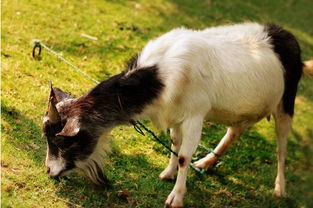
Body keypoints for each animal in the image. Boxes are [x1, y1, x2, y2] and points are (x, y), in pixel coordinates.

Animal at [42, 22, 312, 207]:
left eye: (63, 142)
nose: (48, 171)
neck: (157, 77)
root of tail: (287, 37)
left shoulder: (195, 115)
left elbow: (183, 155)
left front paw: (176, 197)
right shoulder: (174, 114)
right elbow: (174, 144)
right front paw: (168, 173)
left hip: (286, 103)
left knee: (281, 147)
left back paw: (279, 188)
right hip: (244, 110)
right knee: (234, 130)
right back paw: (206, 162)